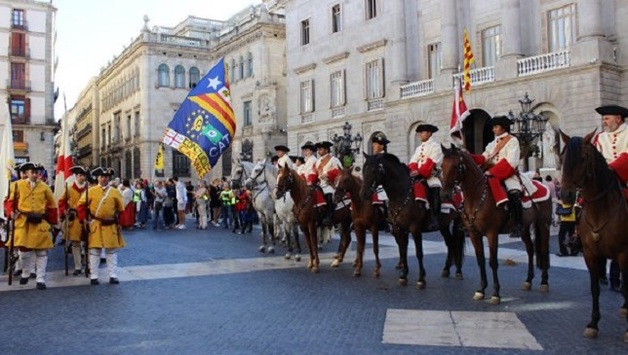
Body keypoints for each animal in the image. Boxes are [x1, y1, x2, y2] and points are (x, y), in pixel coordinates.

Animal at [358, 153, 432, 290]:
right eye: (363, 170)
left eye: (374, 171)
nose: (363, 194)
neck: (402, 194)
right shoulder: (399, 228)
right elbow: (403, 250)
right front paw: (403, 275)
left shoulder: (415, 228)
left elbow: (419, 252)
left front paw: (421, 279)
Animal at [440, 145, 552, 306]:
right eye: (442, 166)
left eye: (455, 166)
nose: (445, 195)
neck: (477, 196)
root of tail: (541, 183)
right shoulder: (474, 234)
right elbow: (480, 260)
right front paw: (481, 290)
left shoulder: (492, 233)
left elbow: (493, 262)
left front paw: (495, 293)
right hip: (524, 228)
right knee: (530, 250)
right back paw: (528, 281)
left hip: (544, 224)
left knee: (543, 250)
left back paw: (544, 282)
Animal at [560, 131, 628, 342]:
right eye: (562, 158)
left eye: (582, 158)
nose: (565, 195)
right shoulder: (590, 254)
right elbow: (594, 289)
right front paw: (593, 324)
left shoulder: (623, 254)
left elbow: (625, 287)